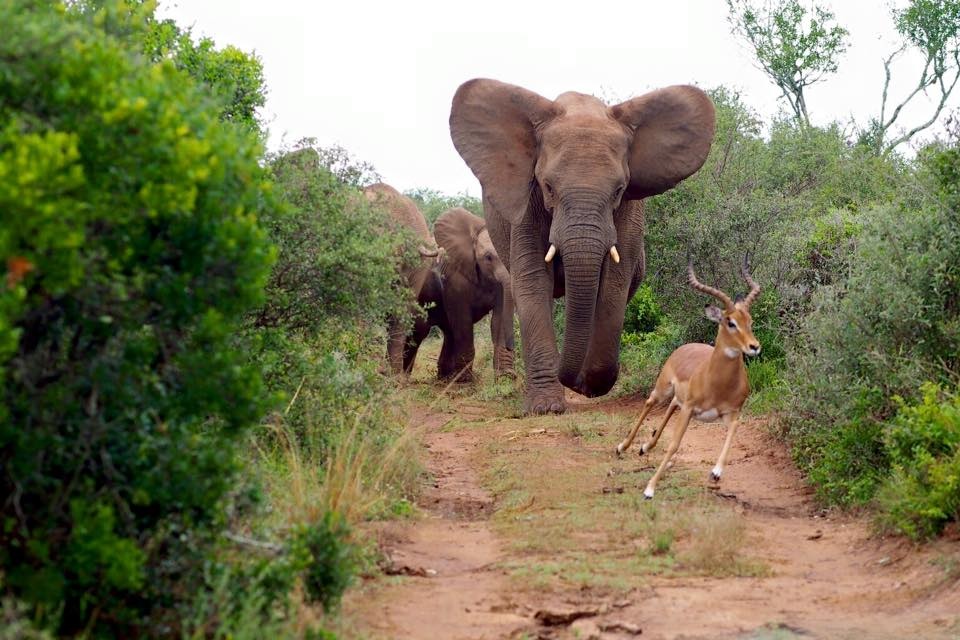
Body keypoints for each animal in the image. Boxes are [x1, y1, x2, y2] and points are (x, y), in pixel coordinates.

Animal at [450, 79, 712, 416]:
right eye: (548, 187)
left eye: (619, 190)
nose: (570, 379)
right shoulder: (527, 203)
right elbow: (533, 279)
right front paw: (547, 407)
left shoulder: (629, 211)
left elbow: (614, 282)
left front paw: (588, 385)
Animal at [620, 258, 760, 498]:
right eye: (730, 322)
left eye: (749, 320)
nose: (754, 347)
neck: (718, 385)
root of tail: (684, 347)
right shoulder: (689, 409)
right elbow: (674, 444)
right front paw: (649, 488)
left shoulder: (728, 413)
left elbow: (734, 428)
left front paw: (716, 473)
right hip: (664, 389)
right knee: (650, 402)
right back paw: (623, 447)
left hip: (680, 401)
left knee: (671, 405)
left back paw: (644, 448)